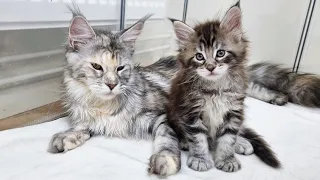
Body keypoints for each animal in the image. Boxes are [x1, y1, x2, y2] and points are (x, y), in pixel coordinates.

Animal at [48, 6, 181, 176]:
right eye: (97, 66)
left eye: (120, 68)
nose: (112, 84)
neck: (103, 107)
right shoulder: (94, 119)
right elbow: (85, 126)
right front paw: (68, 135)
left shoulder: (163, 116)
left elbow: (166, 137)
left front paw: (165, 158)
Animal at [168, 1, 280, 173]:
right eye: (199, 56)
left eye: (220, 53)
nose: (210, 67)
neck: (216, 87)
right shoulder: (192, 111)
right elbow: (198, 138)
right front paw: (200, 158)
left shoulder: (234, 110)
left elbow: (228, 137)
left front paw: (227, 159)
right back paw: (185, 141)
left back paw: (241, 143)